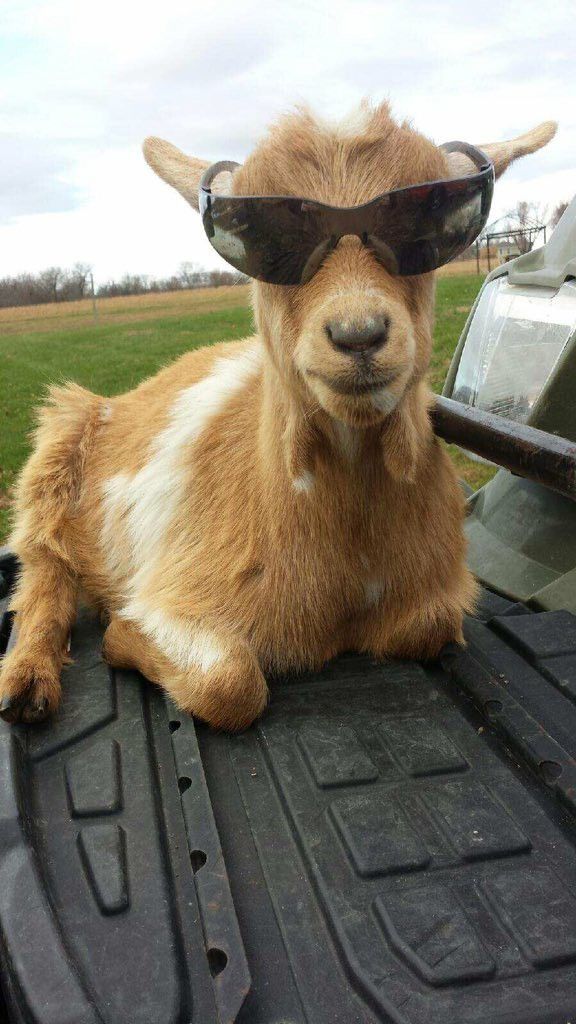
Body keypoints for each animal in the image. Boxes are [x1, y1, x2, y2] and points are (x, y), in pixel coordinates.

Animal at [0, 102, 556, 729]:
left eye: (431, 226)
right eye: (263, 240)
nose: (358, 333)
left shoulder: (430, 597)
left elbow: (431, 626)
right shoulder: (181, 591)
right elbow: (229, 682)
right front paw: (122, 634)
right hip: (56, 446)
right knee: (43, 565)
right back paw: (28, 682)